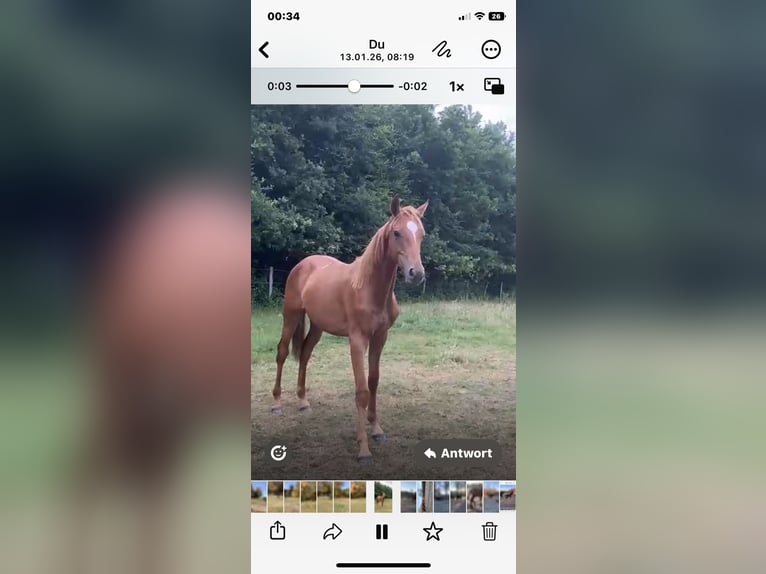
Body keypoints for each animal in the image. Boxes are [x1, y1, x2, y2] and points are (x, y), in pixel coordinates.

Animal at [271, 195, 428, 463]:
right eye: (396, 232)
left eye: (422, 234)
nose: (416, 274)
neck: (369, 288)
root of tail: (302, 264)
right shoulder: (357, 340)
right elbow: (361, 390)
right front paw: (363, 449)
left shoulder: (380, 338)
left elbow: (373, 381)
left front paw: (377, 429)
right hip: (291, 316)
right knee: (282, 353)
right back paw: (277, 403)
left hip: (317, 326)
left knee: (305, 354)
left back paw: (303, 401)